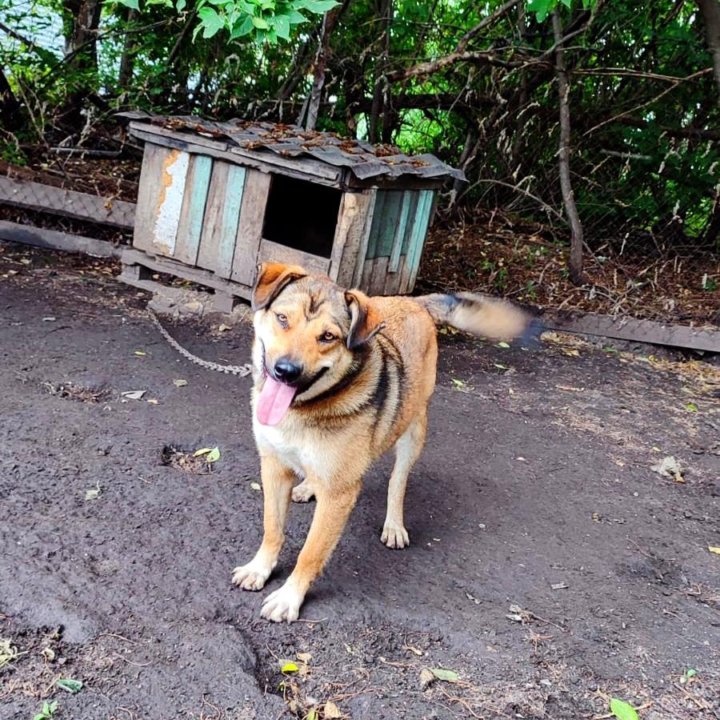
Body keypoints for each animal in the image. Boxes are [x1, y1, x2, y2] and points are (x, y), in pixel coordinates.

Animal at [233, 262, 532, 620]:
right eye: (282, 319)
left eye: (328, 337)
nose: (285, 371)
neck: (303, 409)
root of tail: (415, 302)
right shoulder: (274, 467)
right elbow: (272, 529)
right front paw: (259, 568)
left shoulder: (339, 495)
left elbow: (311, 551)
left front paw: (289, 597)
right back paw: (308, 487)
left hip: (413, 430)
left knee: (397, 483)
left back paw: (393, 525)